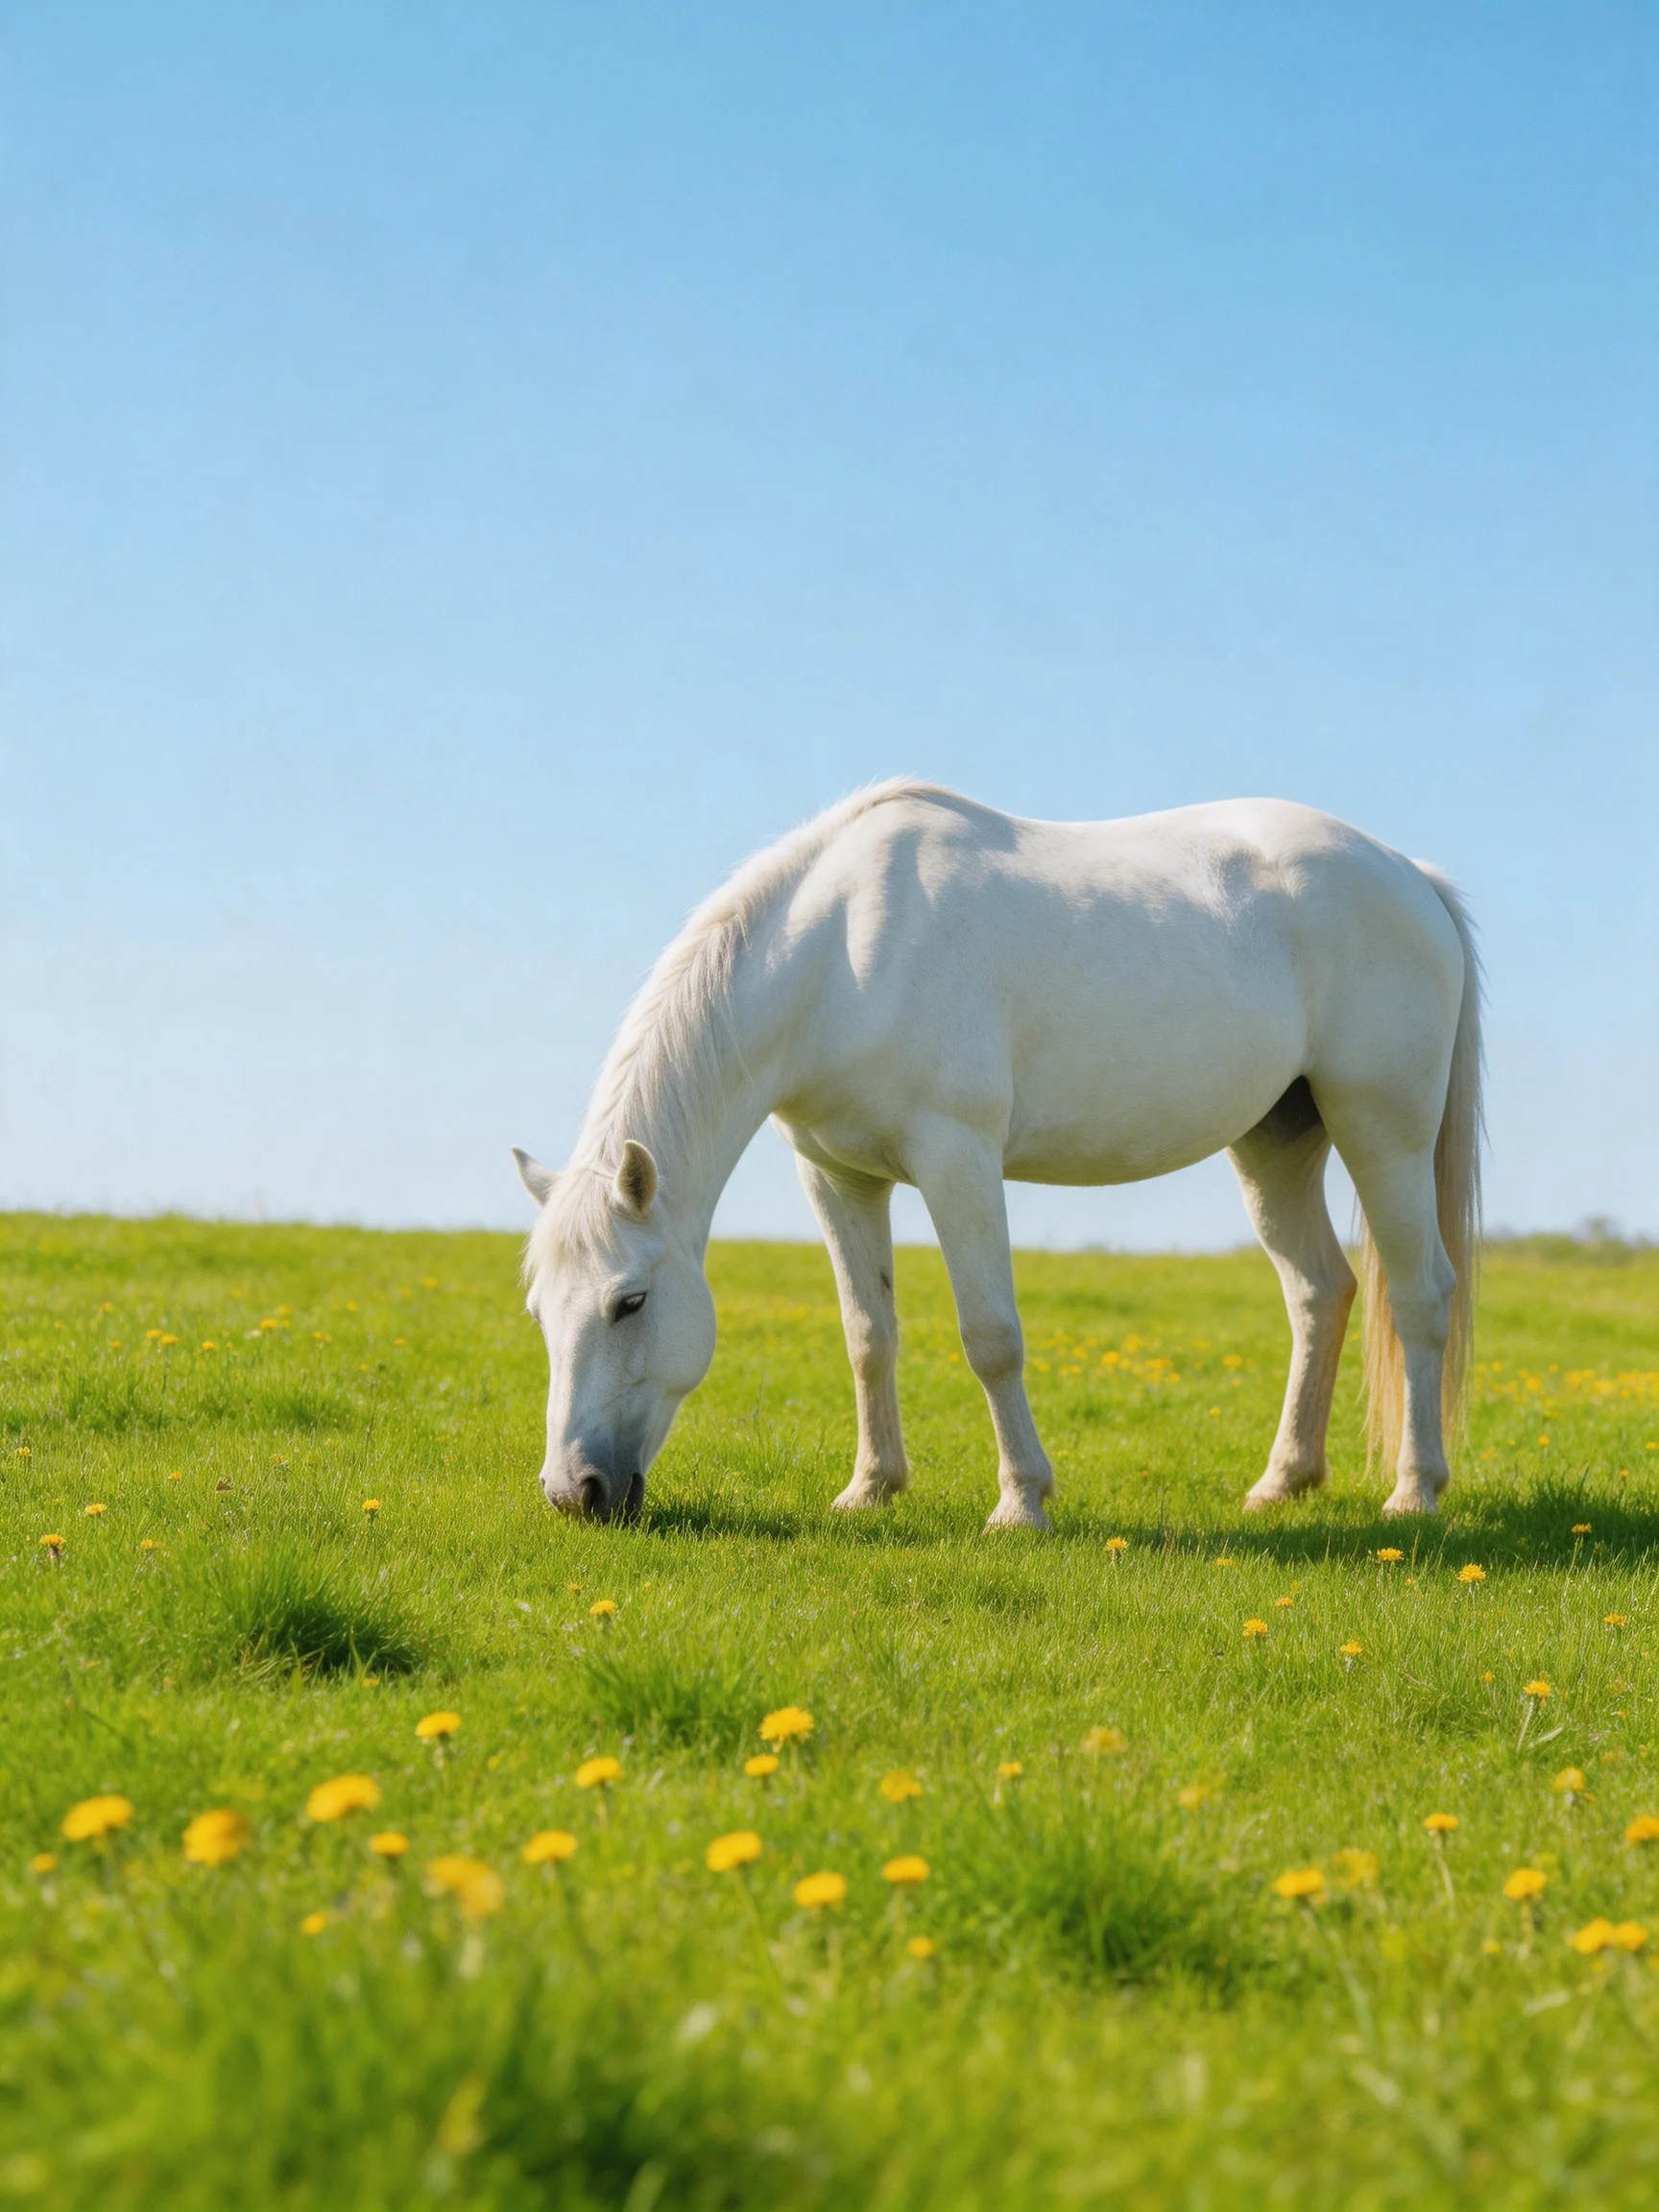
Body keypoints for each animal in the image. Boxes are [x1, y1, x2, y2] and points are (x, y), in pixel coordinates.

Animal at [515, 780, 1482, 1528]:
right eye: (539, 1313)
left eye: (630, 1302)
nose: (573, 1492)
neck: (840, 957)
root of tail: (1411, 876)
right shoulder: (838, 1177)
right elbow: (868, 1333)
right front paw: (870, 1489)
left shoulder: (959, 1161)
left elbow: (991, 1338)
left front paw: (1021, 1503)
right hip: (1275, 1143)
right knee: (1320, 1291)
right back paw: (1283, 1482)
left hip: (1382, 1129)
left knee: (1421, 1295)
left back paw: (1415, 1492)